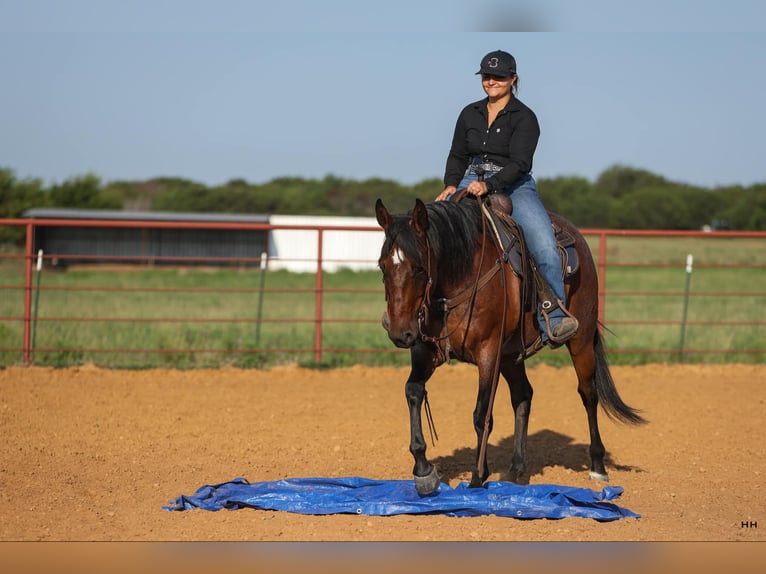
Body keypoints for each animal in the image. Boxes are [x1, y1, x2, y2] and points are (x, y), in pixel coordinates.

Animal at [376, 196, 648, 498]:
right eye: (382, 266)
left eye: (419, 268)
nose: (400, 333)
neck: (462, 274)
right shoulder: (426, 351)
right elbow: (413, 391)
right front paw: (424, 471)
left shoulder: (488, 353)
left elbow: (482, 414)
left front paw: (477, 478)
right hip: (510, 356)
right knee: (523, 395)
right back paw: (517, 468)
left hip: (581, 340)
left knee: (588, 394)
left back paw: (597, 466)